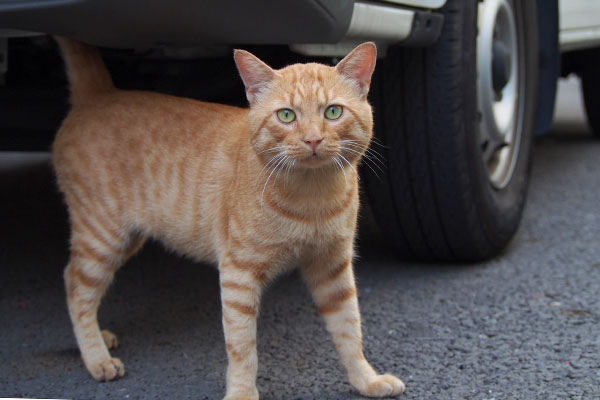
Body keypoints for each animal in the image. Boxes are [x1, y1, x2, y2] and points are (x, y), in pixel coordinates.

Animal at [54, 36, 406, 398]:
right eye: (286, 116)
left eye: (333, 112)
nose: (312, 139)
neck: (312, 198)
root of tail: (99, 93)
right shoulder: (239, 274)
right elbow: (242, 348)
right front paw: (242, 393)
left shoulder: (332, 268)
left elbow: (350, 330)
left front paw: (366, 379)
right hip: (103, 237)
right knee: (76, 286)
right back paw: (96, 357)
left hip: (126, 240)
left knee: (74, 282)